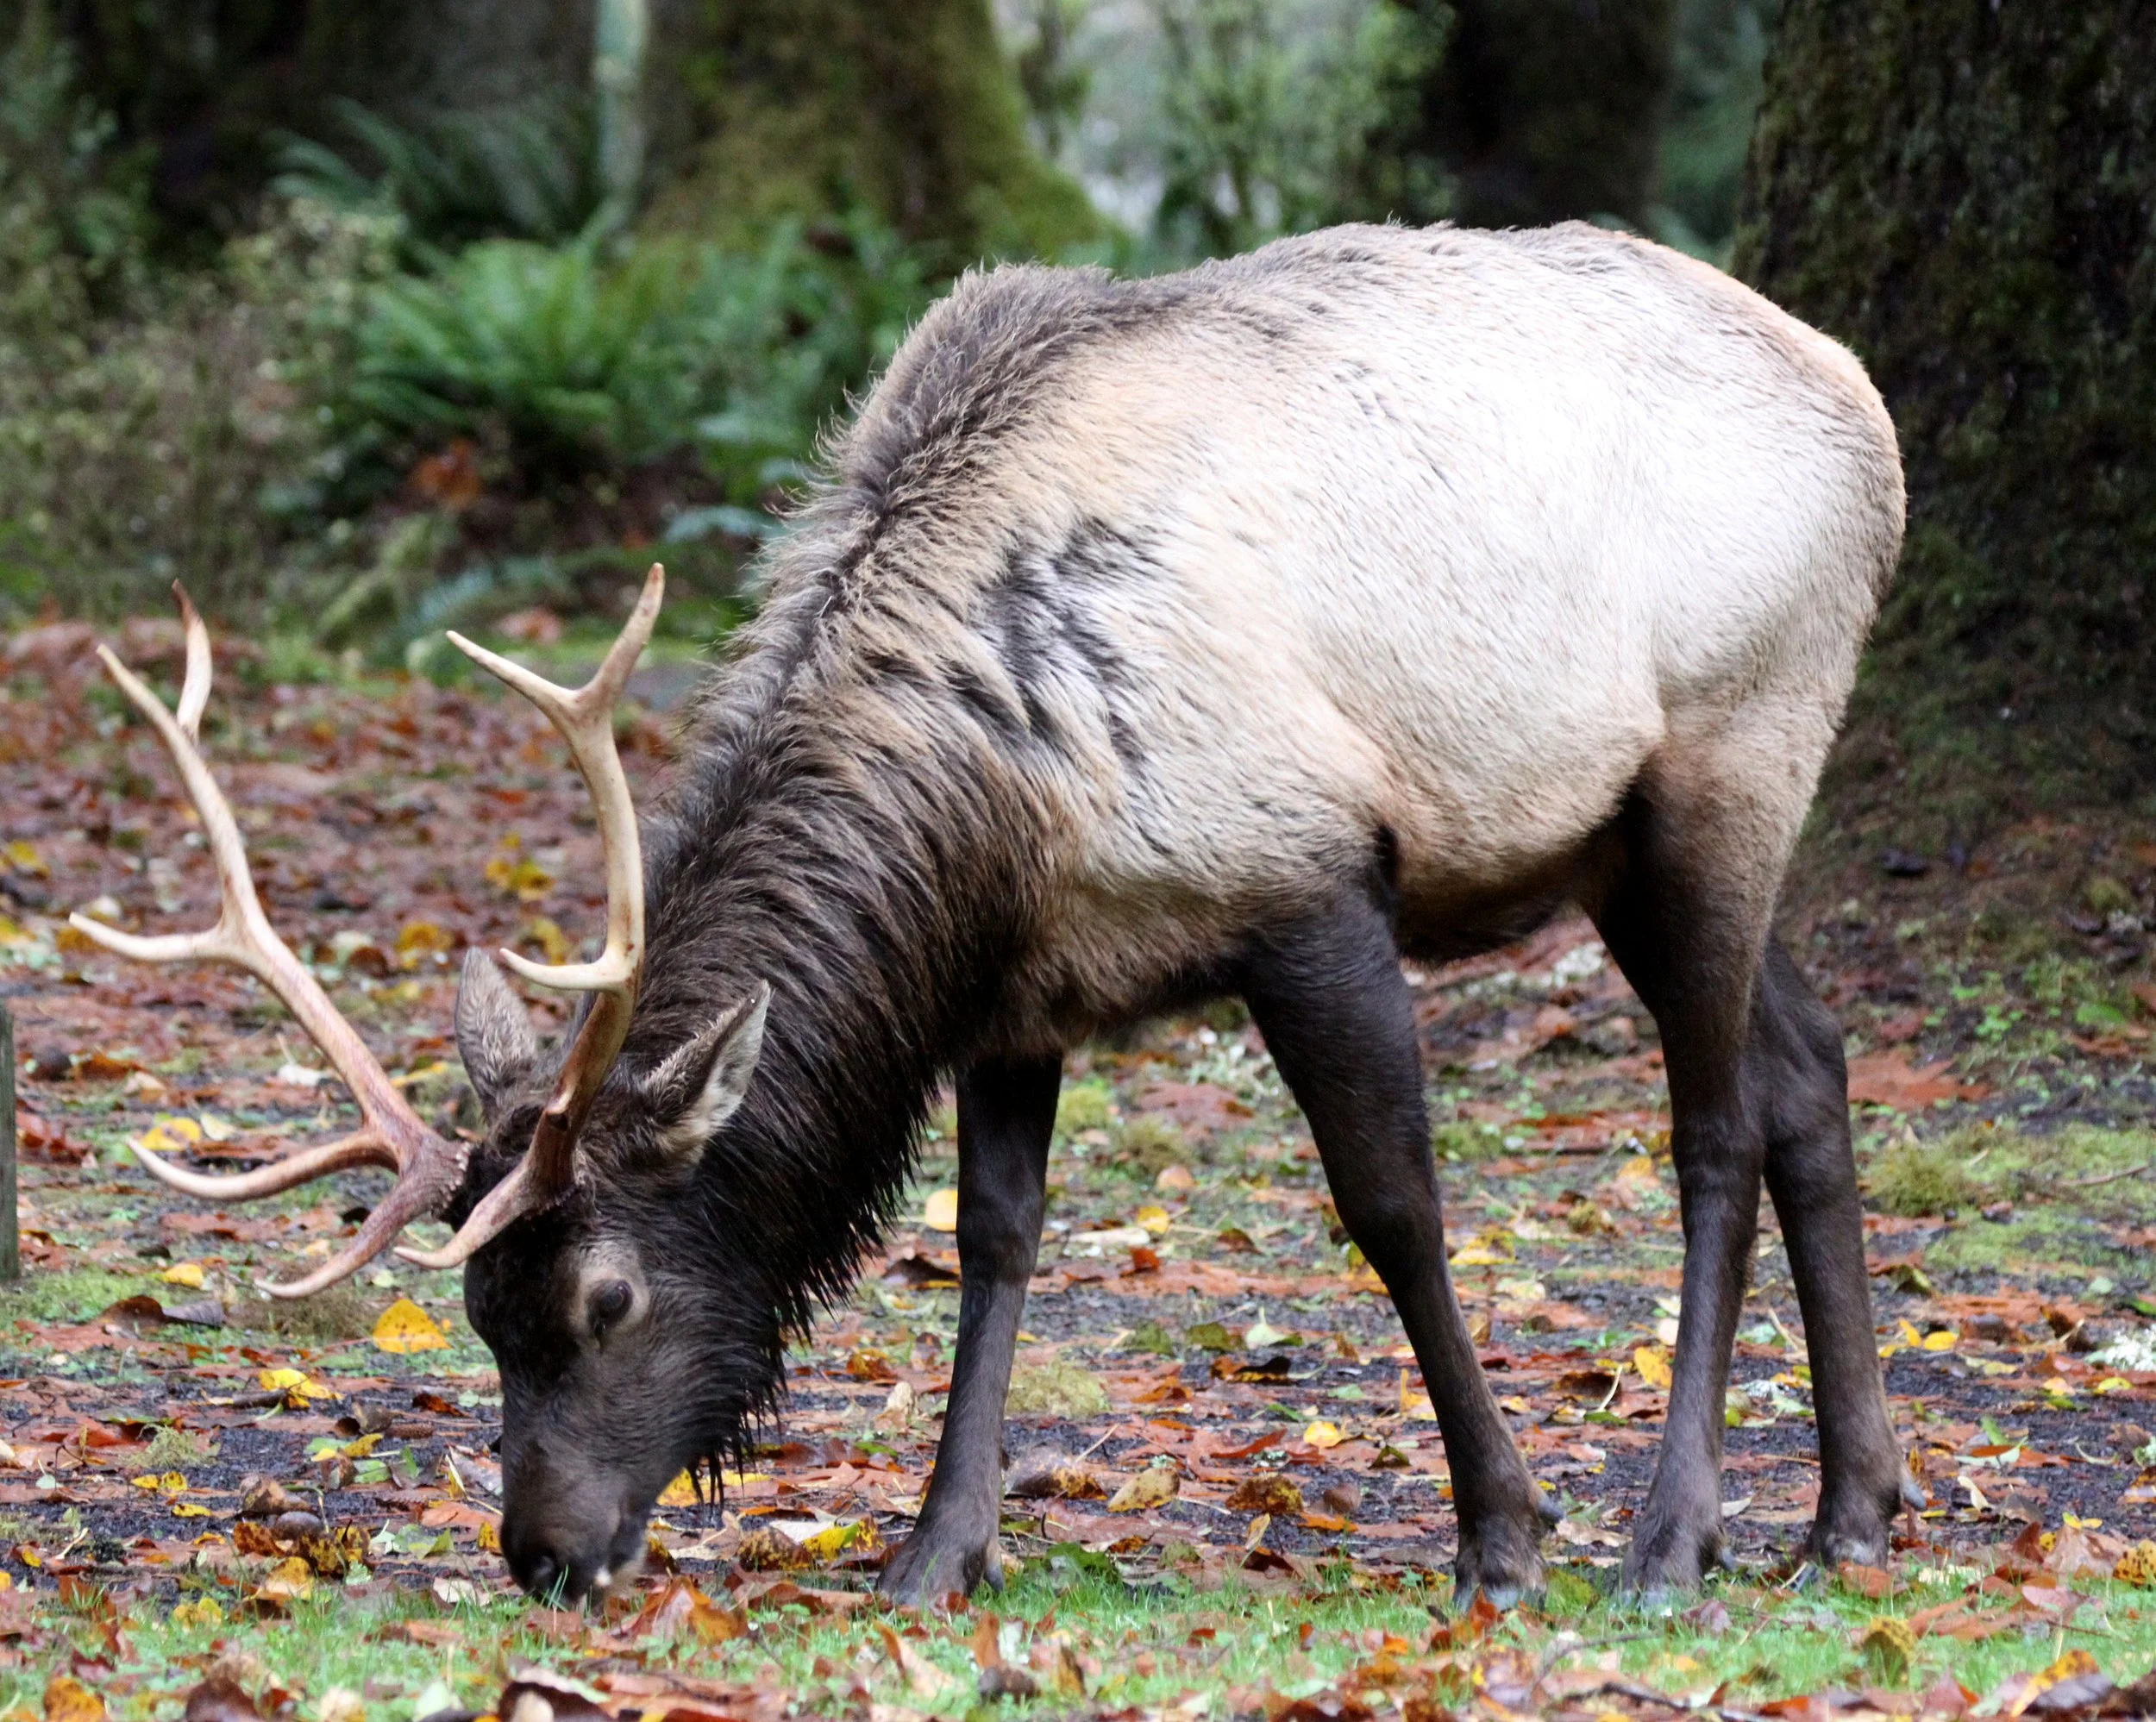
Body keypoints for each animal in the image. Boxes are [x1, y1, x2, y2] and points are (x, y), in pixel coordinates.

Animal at [75, 221, 1915, 1608]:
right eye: (476, 1311)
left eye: (606, 1299)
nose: (542, 1553)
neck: (989, 807)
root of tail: (1871, 408)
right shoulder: (1020, 984)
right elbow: (995, 1239)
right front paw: (937, 1548)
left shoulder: (1310, 875)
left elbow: (1394, 1206)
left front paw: (1504, 1534)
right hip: (1625, 847)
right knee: (1813, 1066)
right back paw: (1852, 1511)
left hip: (1731, 759)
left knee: (1714, 1128)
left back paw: (1675, 1536)